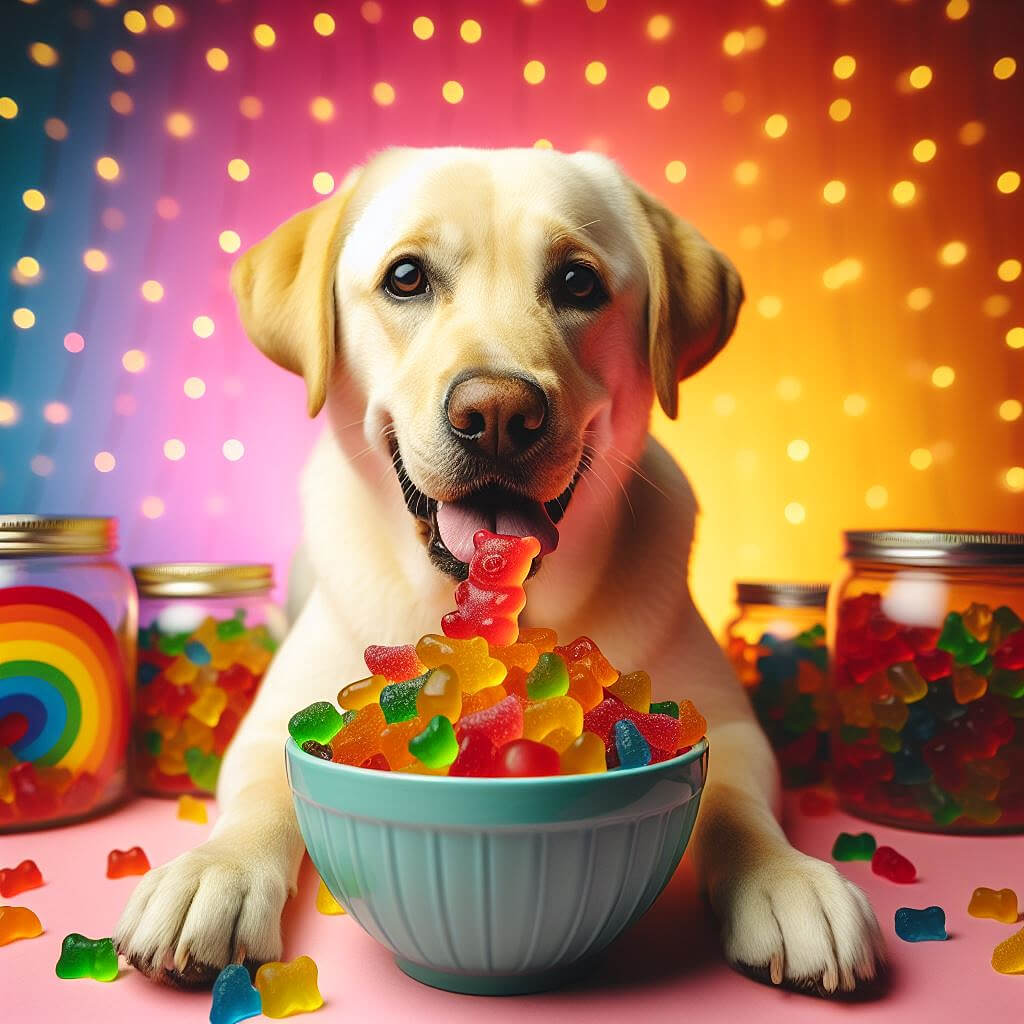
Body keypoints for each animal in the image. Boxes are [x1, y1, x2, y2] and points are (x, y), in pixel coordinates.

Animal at [112, 148, 884, 995]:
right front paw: (212, 872)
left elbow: (734, 799)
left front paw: (787, 878)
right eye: (406, 277)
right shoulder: (270, 720)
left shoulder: (731, 724)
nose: (498, 415)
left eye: (579, 282)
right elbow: (259, 793)